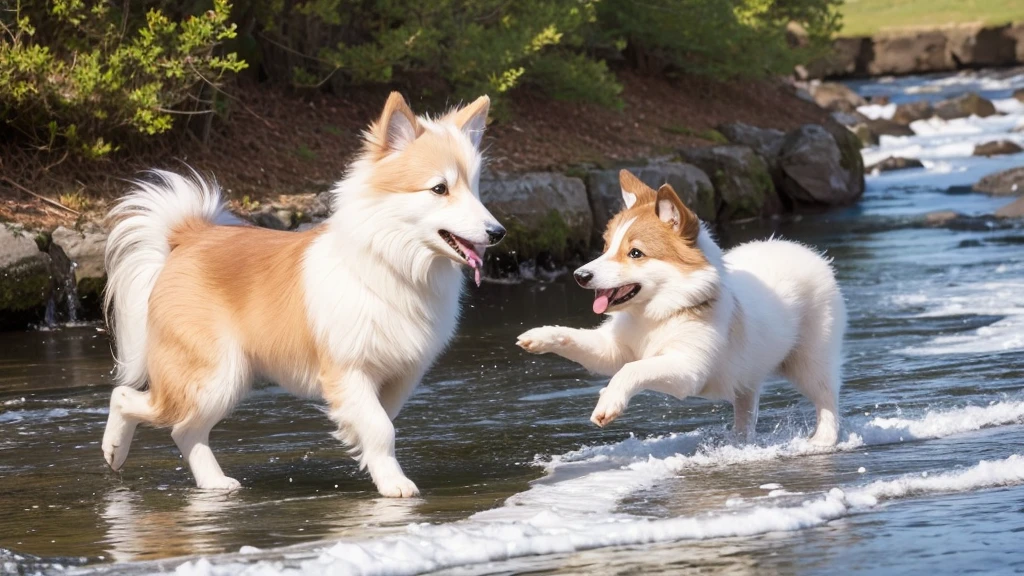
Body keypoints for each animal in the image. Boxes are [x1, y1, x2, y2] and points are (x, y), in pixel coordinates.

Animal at [101, 93, 505, 494]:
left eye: (474, 189)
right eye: (440, 189)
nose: (498, 232)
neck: (394, 264)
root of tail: (190, 235)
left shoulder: (402, 374)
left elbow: (380, 422)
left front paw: (365, 454)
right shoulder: (348, 368)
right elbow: (380, 427)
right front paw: (394, 483)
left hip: (225, 380)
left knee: (186, 430)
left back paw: (214, 482)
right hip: (215, 374)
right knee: (131, 399)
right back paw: (115, 450)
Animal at [520, 170, 847, 444]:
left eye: (635, 253)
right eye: (606, 247)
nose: (580, 275)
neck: (659, 314)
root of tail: (805, 250)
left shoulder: (687, 369)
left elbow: (632, 368)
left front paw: (609, 399)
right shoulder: (611, 349)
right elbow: (576, 339)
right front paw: (541, 336)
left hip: (811, 362)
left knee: (828, 399)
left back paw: (822, 440)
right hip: (748, 377)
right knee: (747, 407)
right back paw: (739, 442)